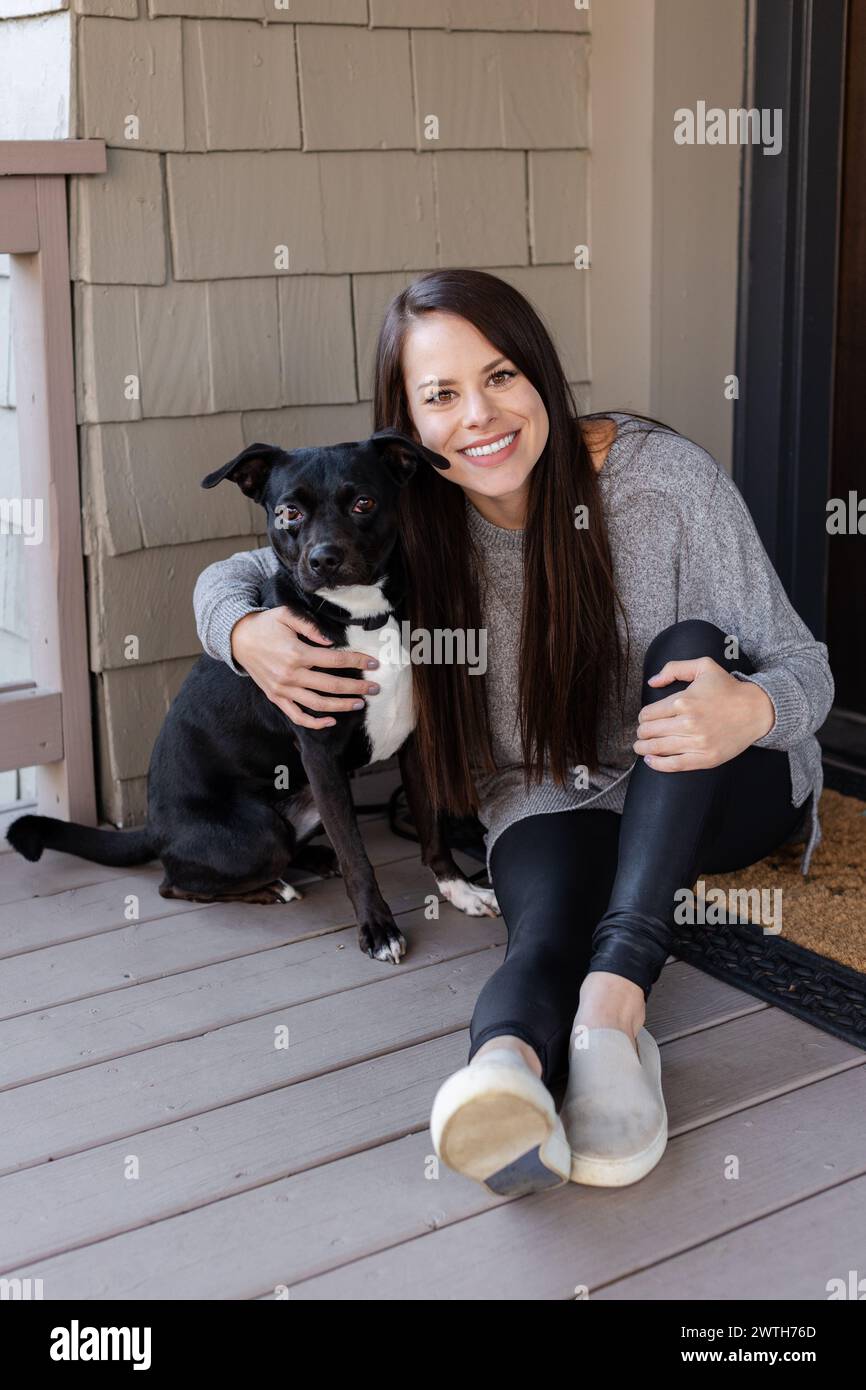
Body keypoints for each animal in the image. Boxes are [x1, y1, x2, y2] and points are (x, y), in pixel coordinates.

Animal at [8, 428, 500, 961]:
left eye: (364, 503)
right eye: (289, 513)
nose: (324, 559)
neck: (359, 617)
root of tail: (154, 829)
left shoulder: (413, 741)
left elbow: (432, 828)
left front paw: (458, 890)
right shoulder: (320, 754)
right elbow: (358, 857)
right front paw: (378, 928)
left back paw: (315, 857)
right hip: (262, 832)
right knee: (174, 884)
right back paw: (274, 887)